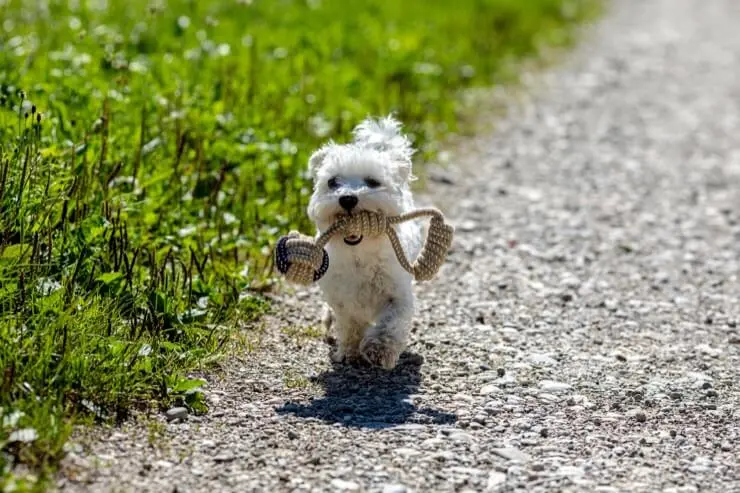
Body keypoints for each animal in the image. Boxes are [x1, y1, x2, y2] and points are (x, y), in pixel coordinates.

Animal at [304, 115, 422, 368]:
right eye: (333, 182)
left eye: (372, 181)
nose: (348, 198)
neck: (360, 253)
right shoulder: (343, 298)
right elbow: (350, 325)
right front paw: (350, 352)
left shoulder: (397, 294)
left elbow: (391, 323)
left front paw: (380, 349)